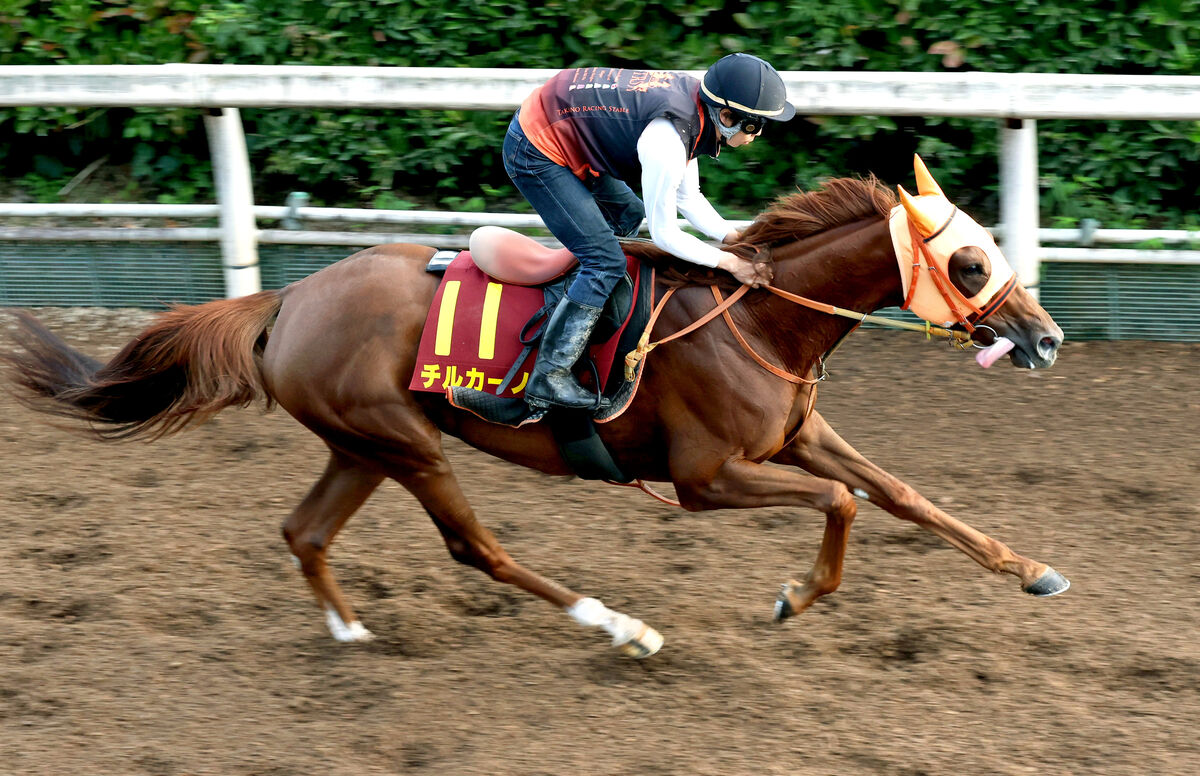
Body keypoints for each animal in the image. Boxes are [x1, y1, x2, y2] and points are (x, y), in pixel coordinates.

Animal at [0, 155, 1070, 657]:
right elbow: (845, 505)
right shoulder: (704, 477)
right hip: (406, 444)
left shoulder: (800, 435)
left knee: (305, 531)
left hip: (364, 442)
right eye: (970, 262)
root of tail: (288, 298)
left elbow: (900, 495)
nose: (1046, 337)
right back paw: (623, 628)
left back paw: (351, 635)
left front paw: (1036, 570)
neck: (761, 319)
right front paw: (794, 596)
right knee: (478, 548)